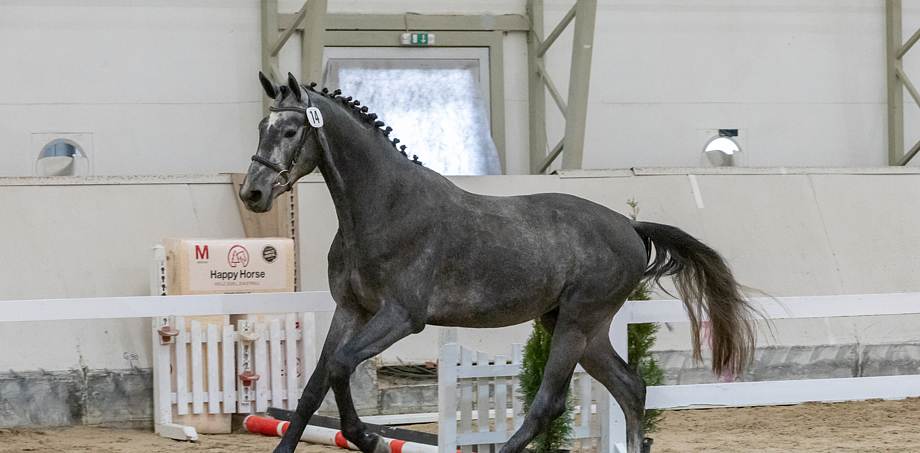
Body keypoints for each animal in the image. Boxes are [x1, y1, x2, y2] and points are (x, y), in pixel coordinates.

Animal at [239, 72, 759, 453]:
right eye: (261, 129)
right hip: (577, 326)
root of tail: (629, 227)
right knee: (630, 388)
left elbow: (343, 365)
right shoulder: (351, 310)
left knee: (548, 404)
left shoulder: (401, 317)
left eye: (290, 131)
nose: (252, 194)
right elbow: (315, 386)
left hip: (577, 321)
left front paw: (368, 438)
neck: (381, 208)